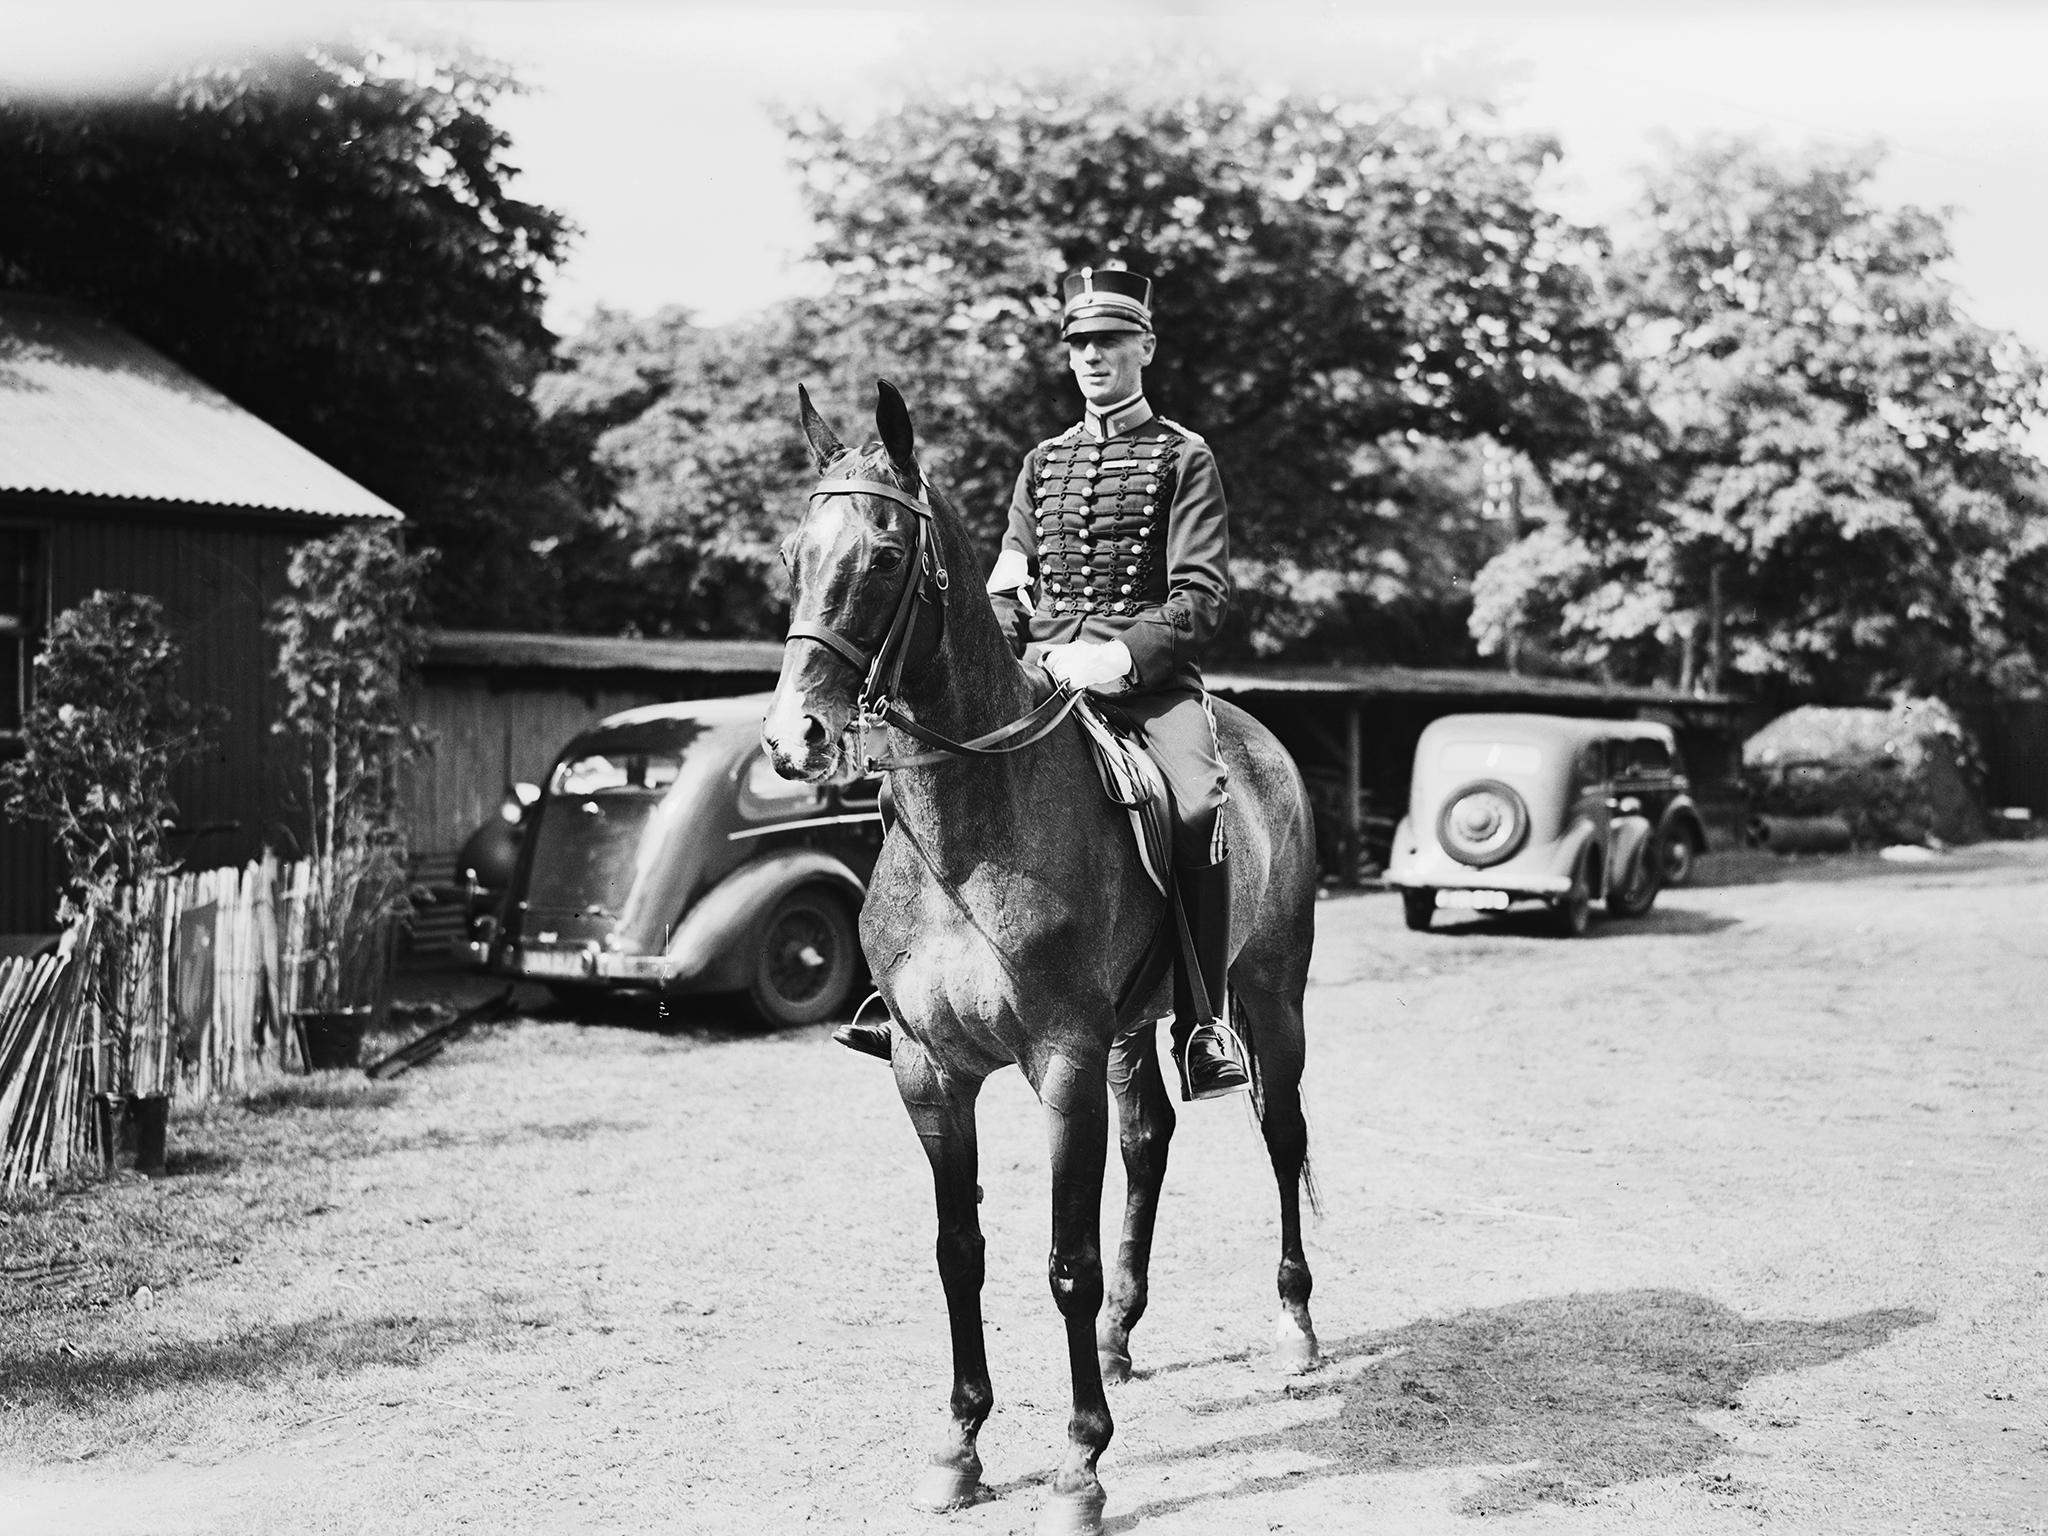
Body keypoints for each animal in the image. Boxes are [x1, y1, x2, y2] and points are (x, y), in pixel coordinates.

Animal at [761, 382, 1318, 1536]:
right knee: (1149, 1141)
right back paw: (1120, 1334)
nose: (793, 739)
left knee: (1279, 1133)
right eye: (796, 550)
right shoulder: (929, 1073)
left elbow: (1063, 1260)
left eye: (886, 554)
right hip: (1135, 1030)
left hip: (1271, 995)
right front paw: (959, 1444)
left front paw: (1079, 1463)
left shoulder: (1061, 1063)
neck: (970, 829)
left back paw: (1293, 1324)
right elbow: (956, 1252)